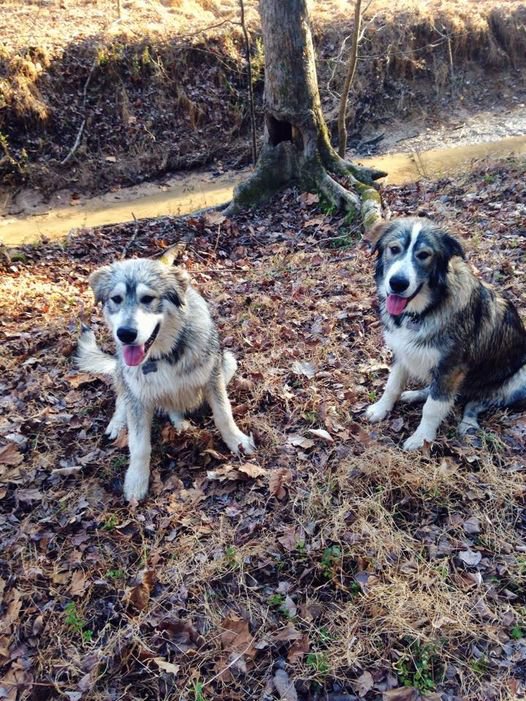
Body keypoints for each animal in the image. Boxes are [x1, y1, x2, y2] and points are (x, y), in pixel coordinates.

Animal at [76, 256, 256, 498]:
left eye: (147, 298)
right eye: (116, 299)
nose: (125, 334)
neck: (162, 356)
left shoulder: (213, 377)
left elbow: (223, 415)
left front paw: (237, 442)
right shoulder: (138, 398)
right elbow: (139, 445)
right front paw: (136, 480)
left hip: (228, 361)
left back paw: (181, 424)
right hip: (124, 376)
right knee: (122, 398)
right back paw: (118, 423)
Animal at [368, 216, 526, 452]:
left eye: (424, 255)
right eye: (394, 249)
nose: (397, 284)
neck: (423, 311)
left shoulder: (451, 367)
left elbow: (433, 407)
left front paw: (422, 438)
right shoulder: (402, 352)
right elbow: (392, 386)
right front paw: (381, 409)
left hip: (518, 378)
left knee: (475, 402)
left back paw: (468, 424)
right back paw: (414, 395)